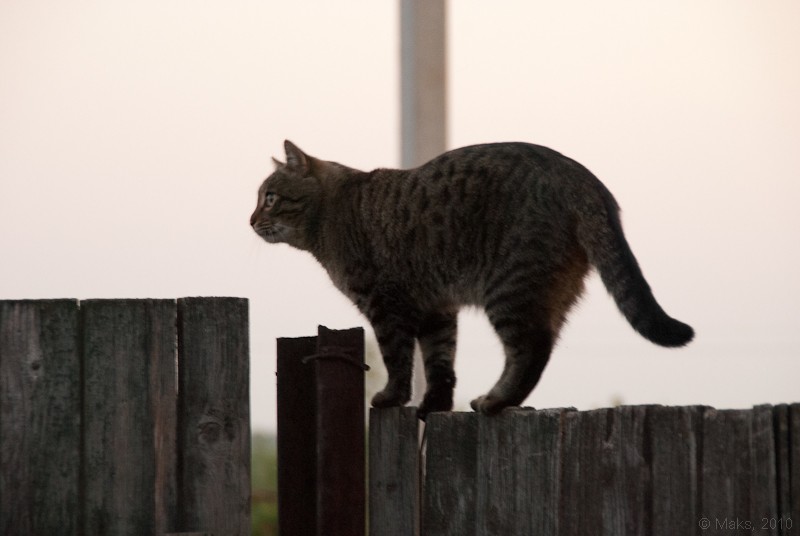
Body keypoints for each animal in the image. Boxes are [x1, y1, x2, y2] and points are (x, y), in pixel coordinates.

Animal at [252, 140, 692, 420]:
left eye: (270, 197)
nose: (251, 220)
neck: (332, 211)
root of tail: (579, 173)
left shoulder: (385, 305)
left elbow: (398, 360)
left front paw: (392, 398)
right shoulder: (437, 309)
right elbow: (440, 363)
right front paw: (435, 405)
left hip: (511, 289)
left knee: (531, 350)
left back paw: (495, 401)